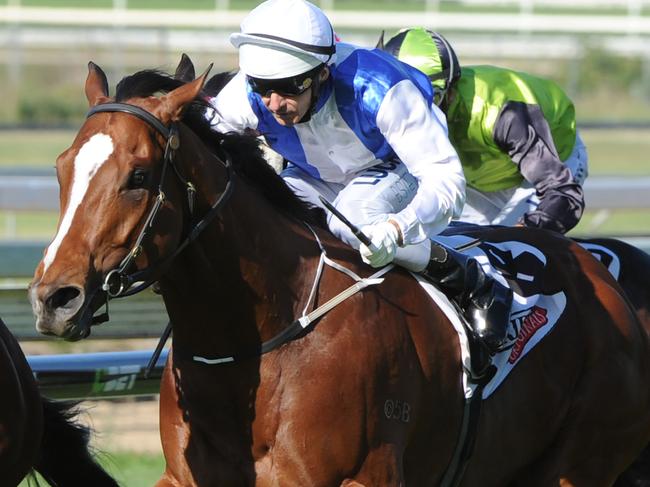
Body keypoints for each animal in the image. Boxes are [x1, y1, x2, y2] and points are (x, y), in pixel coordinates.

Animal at [29, 58, 650, 487]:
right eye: (61, 167)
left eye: (137, 176)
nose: (54, 298)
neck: (257, 341)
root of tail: (603, 278)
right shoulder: (183, 475)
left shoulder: (362, 476)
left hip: (578, 464)